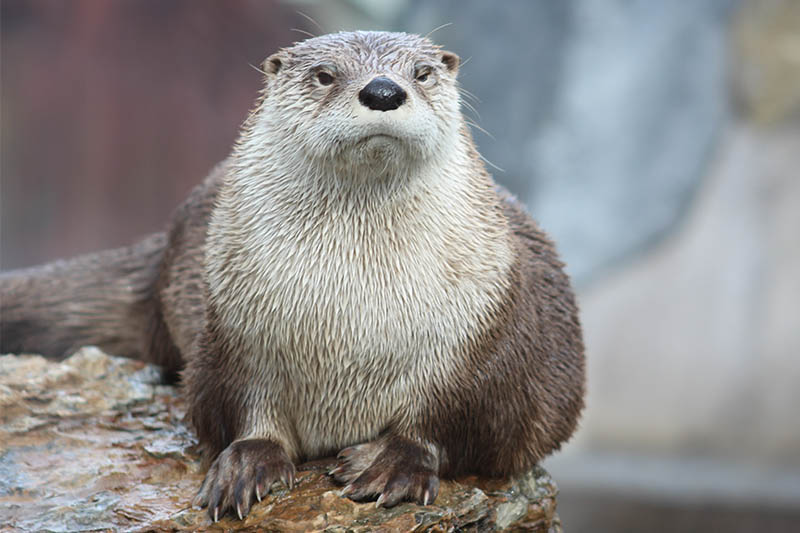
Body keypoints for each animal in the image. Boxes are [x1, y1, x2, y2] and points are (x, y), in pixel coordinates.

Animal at [0, 31, 585, 522]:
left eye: (421, 73)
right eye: (325, 75)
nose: (383, 90)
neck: (354, 317)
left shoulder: (485, 341)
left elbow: (455, 421)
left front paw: (392, 462)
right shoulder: (233, 332)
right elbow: (233, 408)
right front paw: (249, 462)